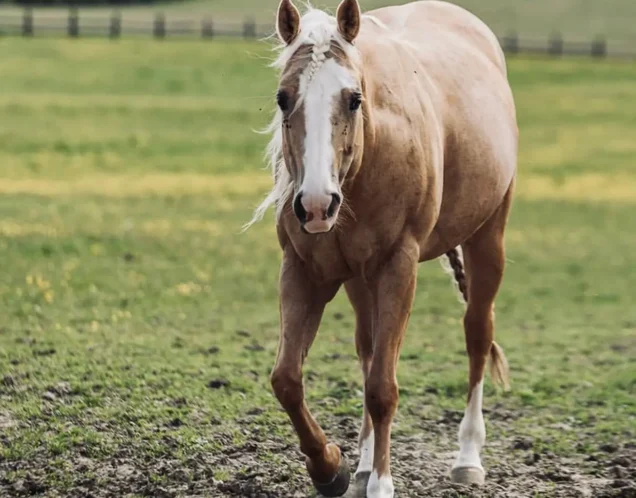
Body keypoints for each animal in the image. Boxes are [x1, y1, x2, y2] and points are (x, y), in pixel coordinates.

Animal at [246, 0, 520, 494]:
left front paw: (381, 482)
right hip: (359, 279)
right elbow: (287, 380)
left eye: (354, 98)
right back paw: (360, 463)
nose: (316, 205)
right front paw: (331, 468)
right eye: (282, 98)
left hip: (487, 238)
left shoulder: (399, 267)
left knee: (477, 334)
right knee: (367, 348)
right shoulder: (302, 270)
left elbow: (382, 388)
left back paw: (467, 457)